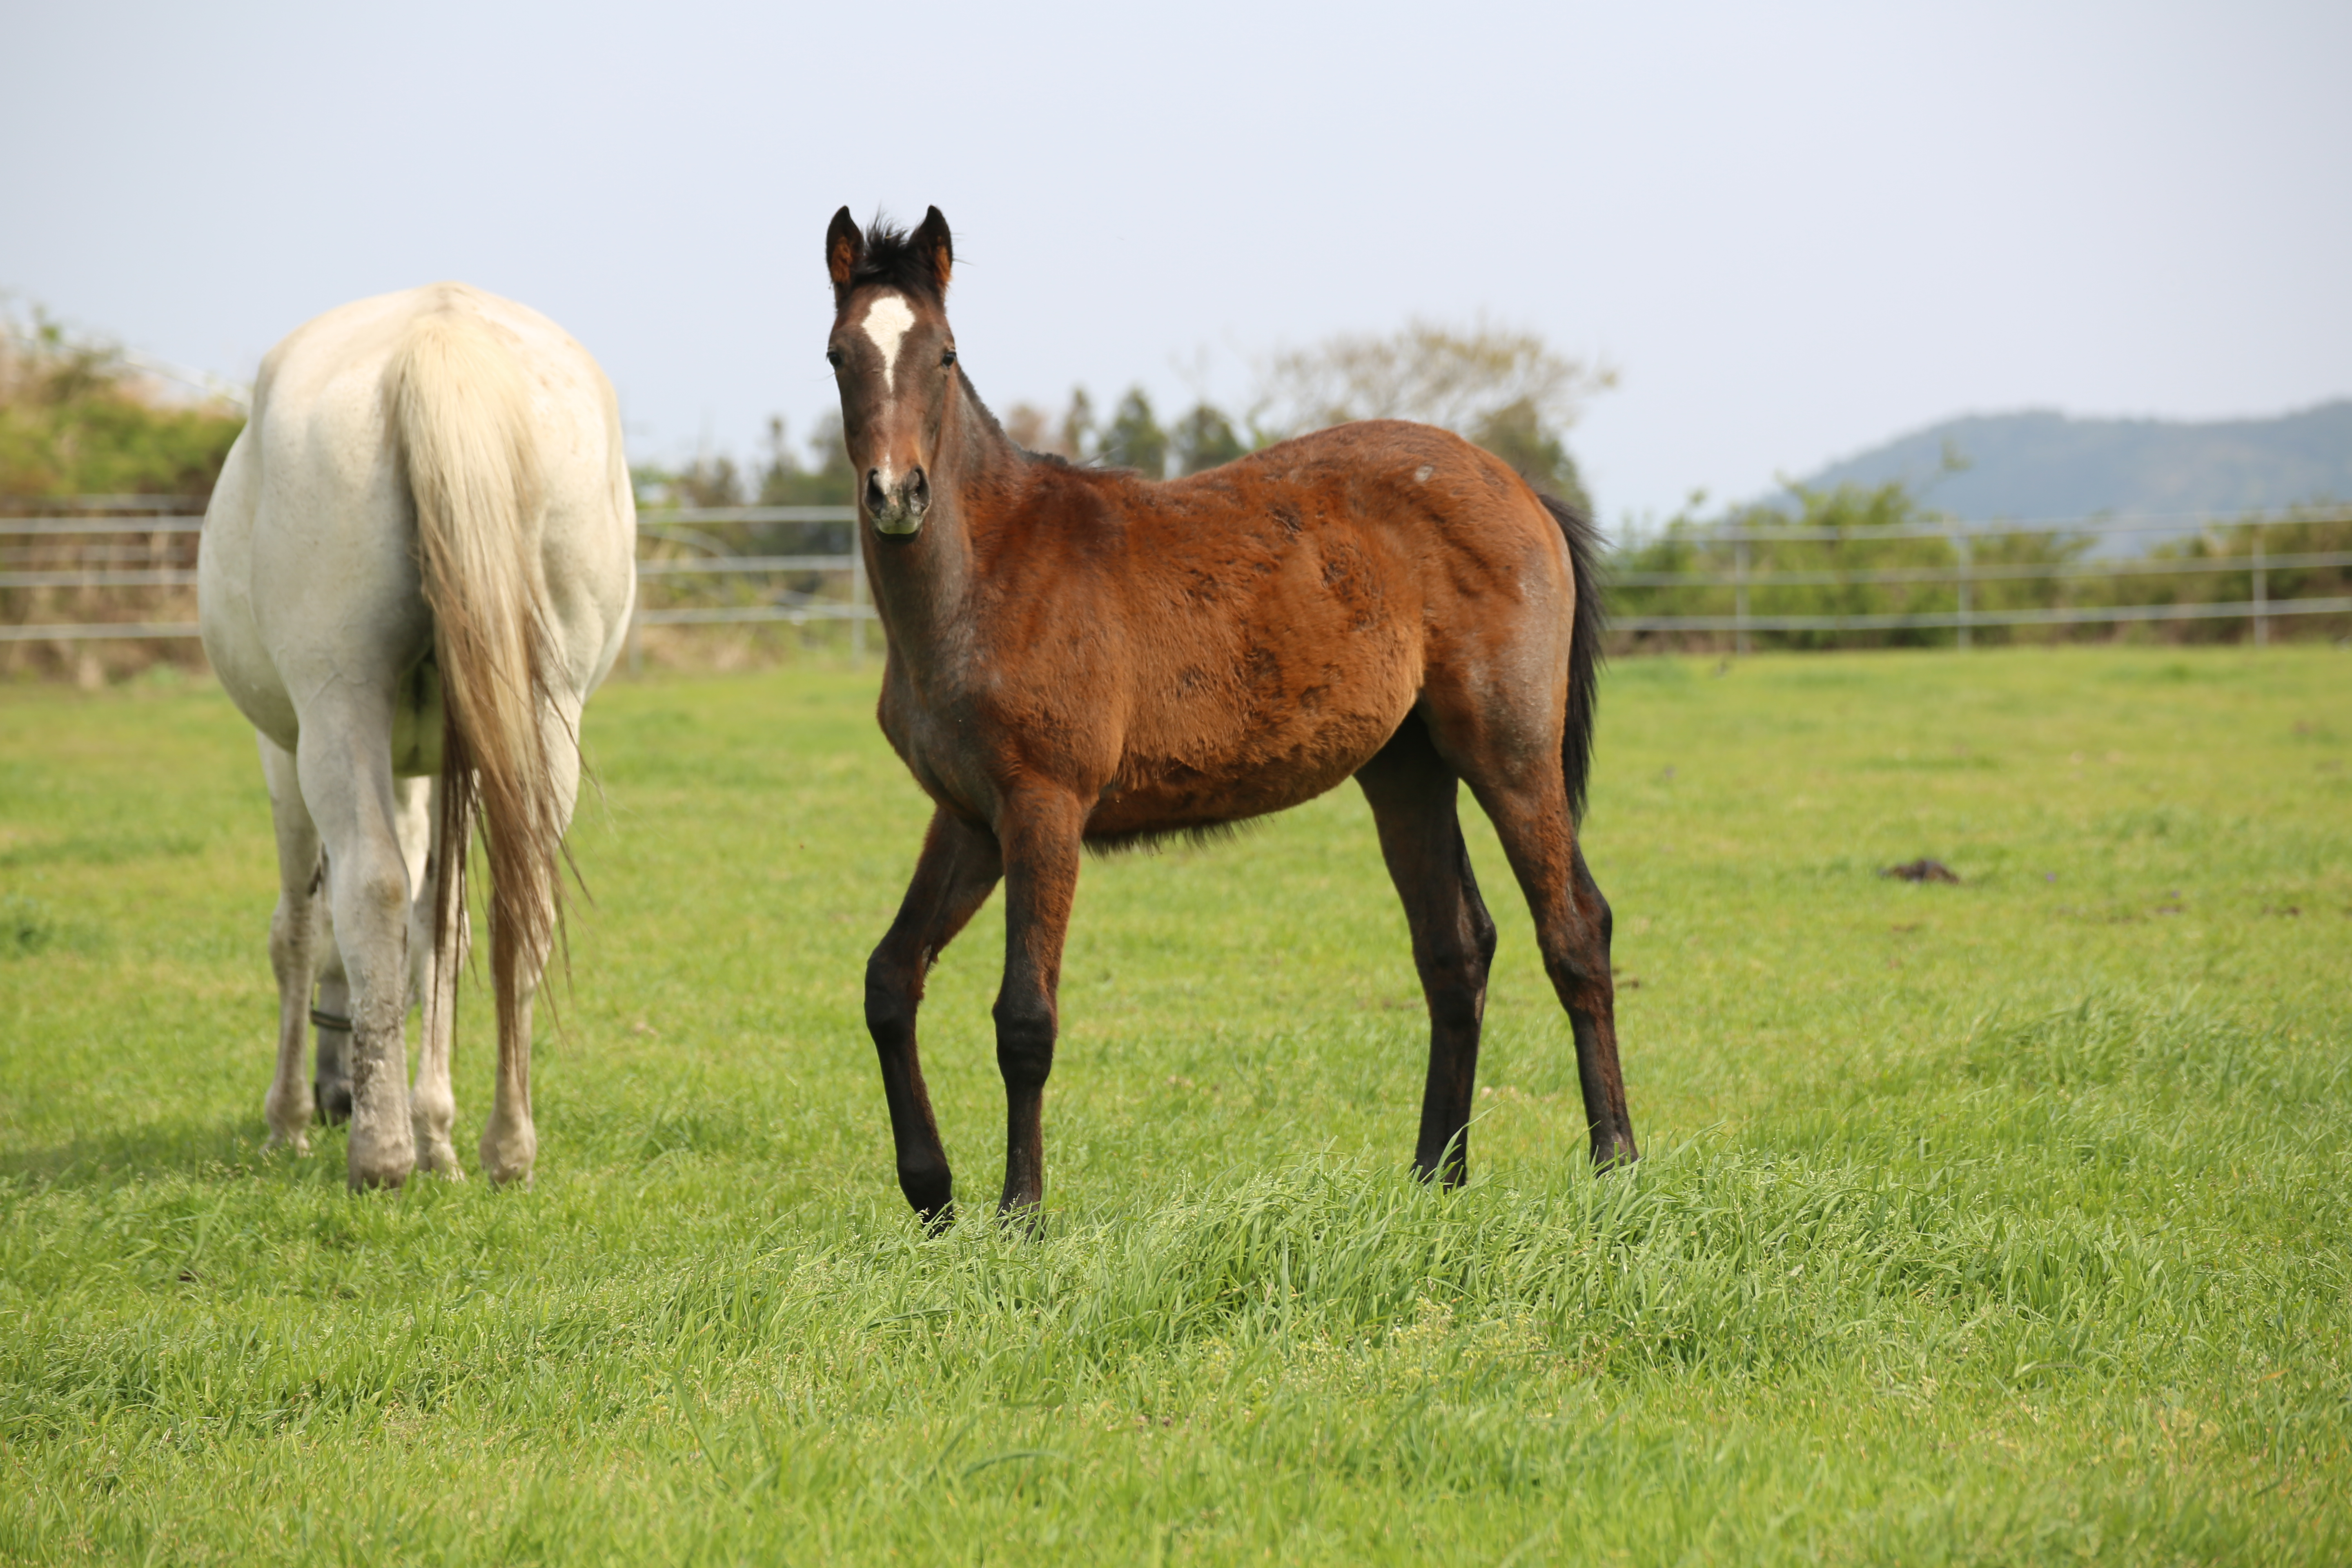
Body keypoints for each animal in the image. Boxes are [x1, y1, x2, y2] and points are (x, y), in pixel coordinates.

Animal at [200, 285, 635, 1189]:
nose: (334, 1098)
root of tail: (441, 335)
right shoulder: (444, 764)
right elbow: (442, 927)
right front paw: (438, 1131)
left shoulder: (283, 754)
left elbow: (300, 929)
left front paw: (290, 1122)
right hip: (548, 718)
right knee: (522, 903)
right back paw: (506, 1147)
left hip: (336, 707)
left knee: (369, 883)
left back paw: (381, 1154)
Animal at [828, 205, 1637, 1222]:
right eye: (839, 355)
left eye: (943, 354)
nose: (897, 495)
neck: (988, 576)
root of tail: (1521, 487)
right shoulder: (971, 818)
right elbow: (888, 980)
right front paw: (931, 1194)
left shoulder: (1045, 808)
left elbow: (1025, 1020)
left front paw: (1021, 1217)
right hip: (1406, 768)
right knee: (1456, 950)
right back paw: (1434, 1181)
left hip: (1511, 752)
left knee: (1574, 930)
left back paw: (1616, 1166)